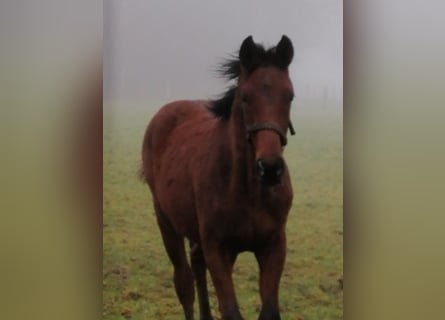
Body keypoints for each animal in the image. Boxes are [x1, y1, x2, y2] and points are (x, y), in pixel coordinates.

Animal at [141, 35, 294, 320]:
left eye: (290, 96)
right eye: (245, 97)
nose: (270, 169)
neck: (247, 191)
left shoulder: (274, 244)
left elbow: (269, 310)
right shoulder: (218, 249)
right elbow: (230, 311)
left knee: (196, 264)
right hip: (166, 221)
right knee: (184, 283)